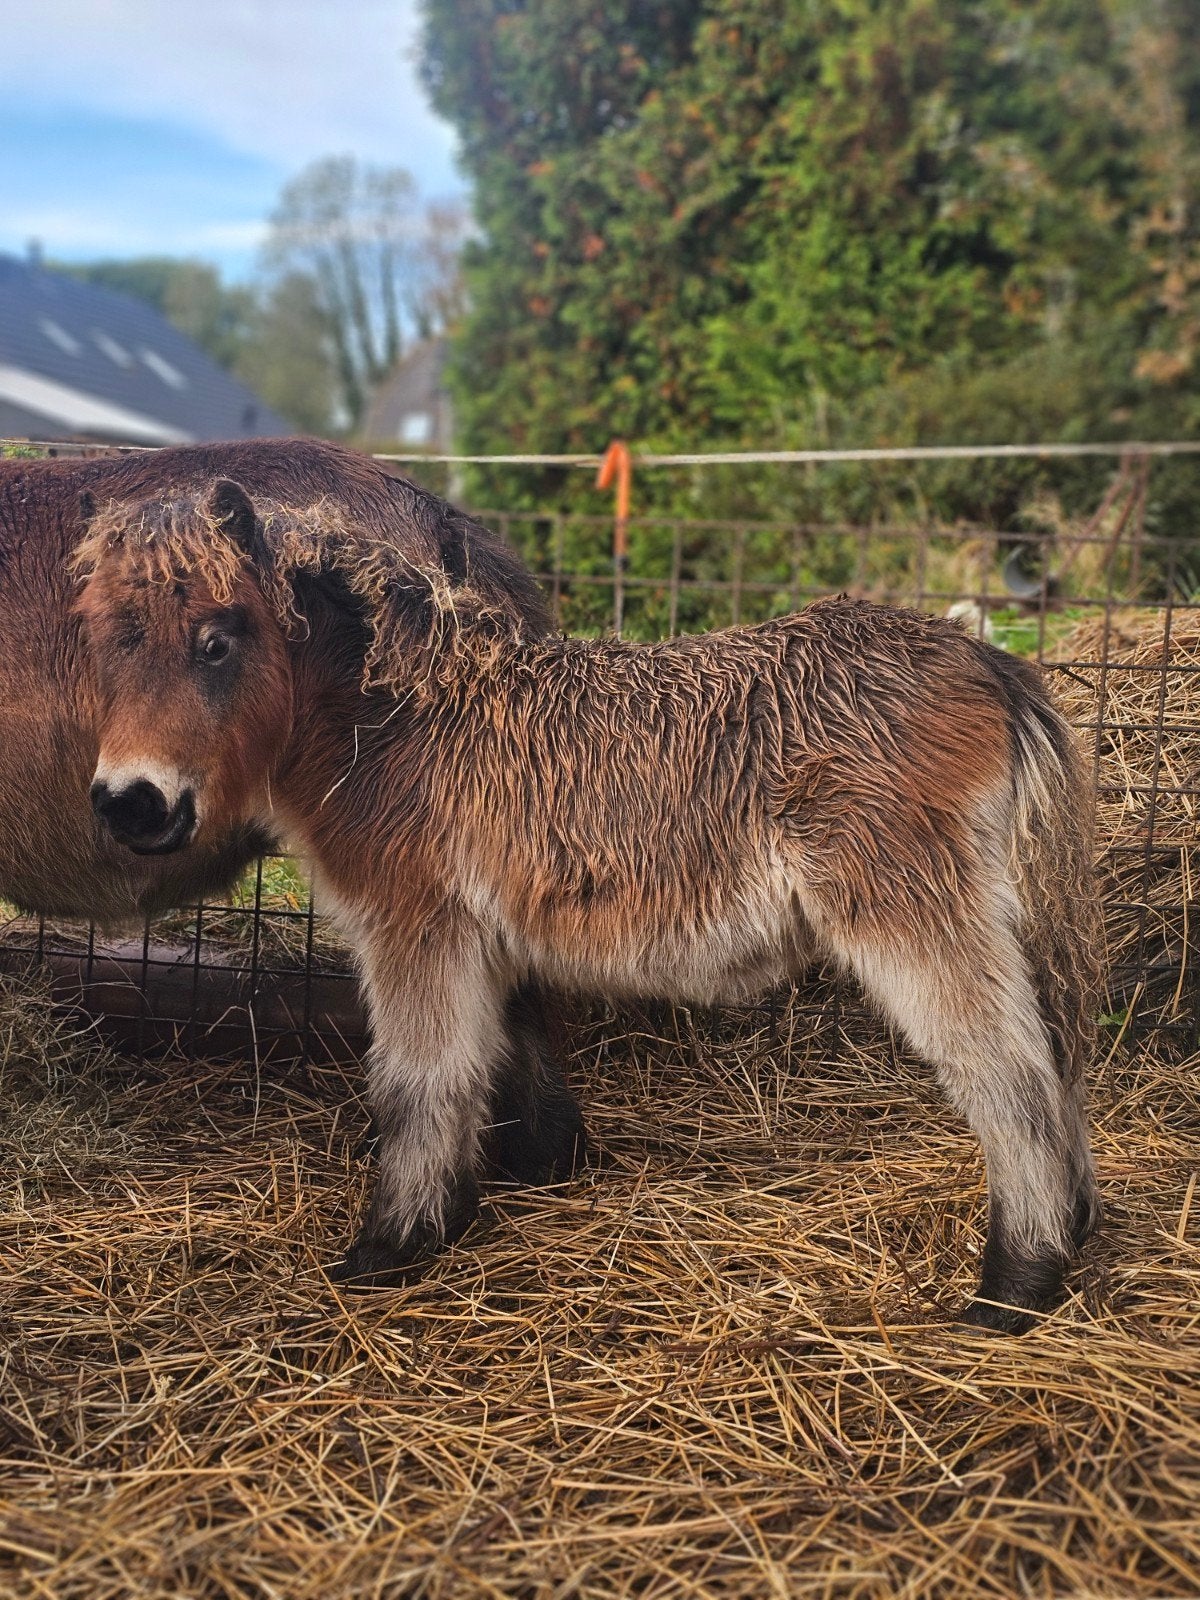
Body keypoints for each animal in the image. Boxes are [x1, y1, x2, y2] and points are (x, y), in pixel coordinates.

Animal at [69, 467, 1104, 1332]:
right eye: (106, 648)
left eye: (215, 642)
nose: (128, 804)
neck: (394, 718)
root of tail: (984, 660)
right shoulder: (484, 938)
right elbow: (506, 1053)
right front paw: (509, 1186)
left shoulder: (416, 929)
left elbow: (418, 1080)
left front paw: (390, 1247)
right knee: (1054, 1055)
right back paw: (1075, 1230)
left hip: (911, 912)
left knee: (1010, 1076)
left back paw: (1016, 1287)